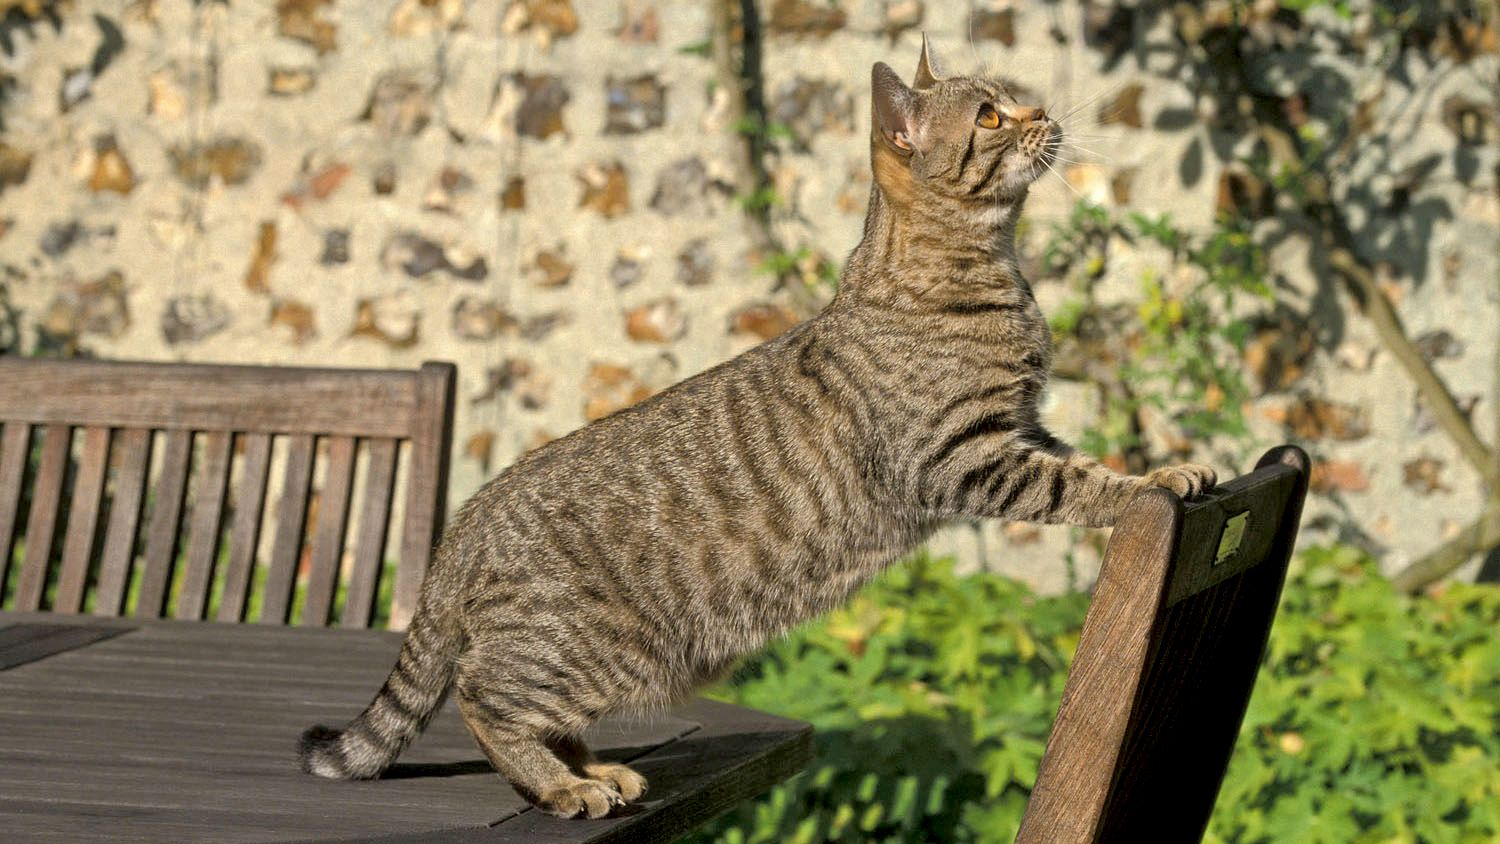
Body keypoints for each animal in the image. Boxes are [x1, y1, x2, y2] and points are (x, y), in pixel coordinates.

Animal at [295, 39, 1218, 821]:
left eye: (1014, 100)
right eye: (990, 116)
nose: (1044, 112)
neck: (981, 270)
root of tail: (467, 520)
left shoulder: (1020, 429)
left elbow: (1096, 465)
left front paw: (1162, 473)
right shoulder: (966, 456)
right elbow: (1080, 486)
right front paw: (1147, 485)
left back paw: (592, 768)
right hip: (592, 652)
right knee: (483, 696)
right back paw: (561, 785)